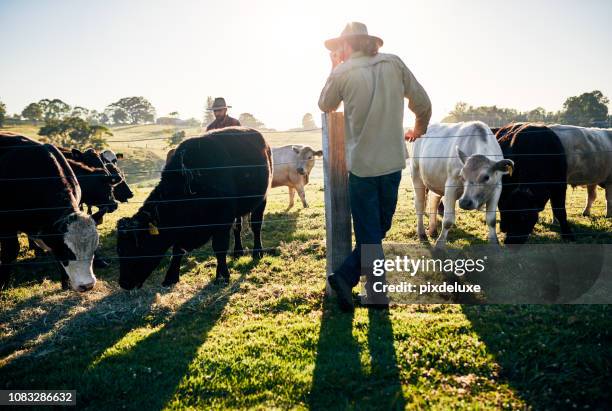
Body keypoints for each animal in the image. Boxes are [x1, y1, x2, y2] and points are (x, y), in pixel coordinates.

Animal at [0, 134, 99, 292]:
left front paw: (65, 283)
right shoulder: (6, 225)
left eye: (93, 250)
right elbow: (9, 252)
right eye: (67, 251)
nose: (88, 285)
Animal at [118, 129, 272, 290]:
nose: (124, 283)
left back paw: (257, 252)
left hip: (262, 200)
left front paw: (222, 276)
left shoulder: (222, 221)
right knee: (238, 228)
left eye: (137, 248)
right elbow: (177, 249)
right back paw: (237, 252)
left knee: (256, 226)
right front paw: (171, 277)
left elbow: (219, 247)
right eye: (119, 250)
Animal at [408, 119, 512, 248]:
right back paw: (422, 234)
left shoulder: (497, 189)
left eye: (486, 177)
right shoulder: (450, 186)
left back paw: (432, 229)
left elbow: (491, 220)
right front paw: (439, 245)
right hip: (416, 175)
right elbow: (447, 220)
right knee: (419, 205)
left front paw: (494, 244)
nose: (465, 202)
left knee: (433, 200)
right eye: (461, 176)